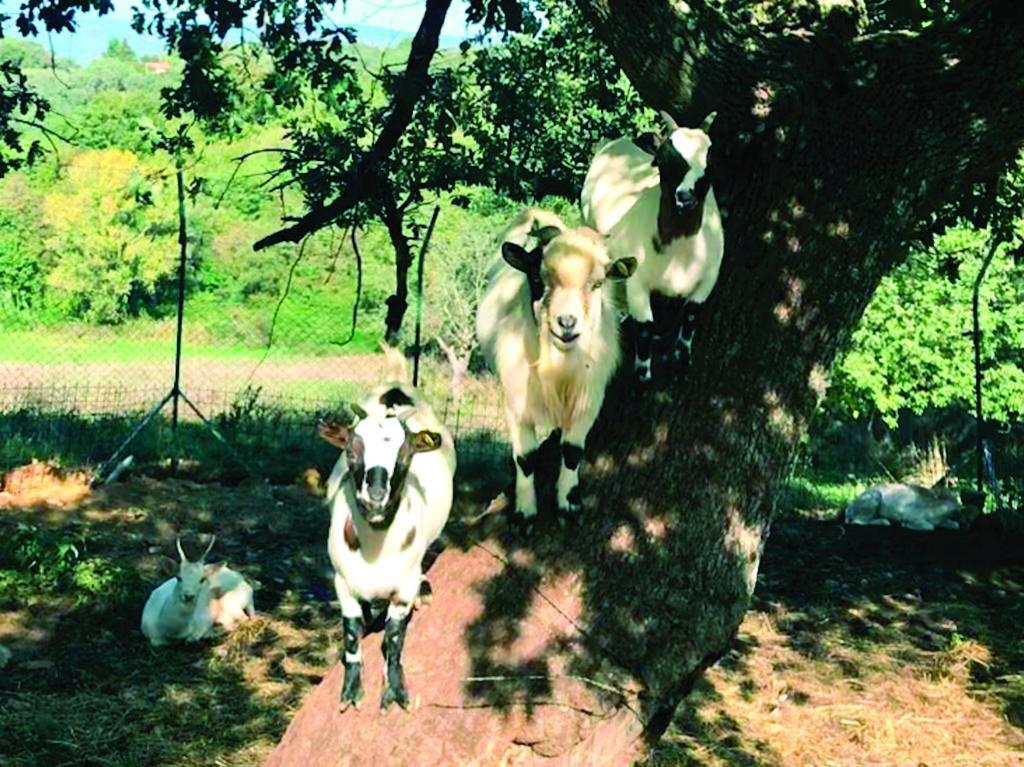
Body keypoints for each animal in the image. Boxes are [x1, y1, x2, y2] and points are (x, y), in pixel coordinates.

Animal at [475, 207, 634, 520]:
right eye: (538, 281)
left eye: (597, 284)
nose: (567, 323)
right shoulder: (516, 402)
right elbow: (526, 458)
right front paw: (524, 512)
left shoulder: (589, 400)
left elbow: (572, 451)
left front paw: (568, 504)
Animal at [581, 109, 724, 382]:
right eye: (661, 160)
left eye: (710, 159)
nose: (684, 197)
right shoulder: (637, 283)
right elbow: (644, 329)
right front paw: (643, 379)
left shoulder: (709, 279)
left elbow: (690, 318)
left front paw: (682, 364)